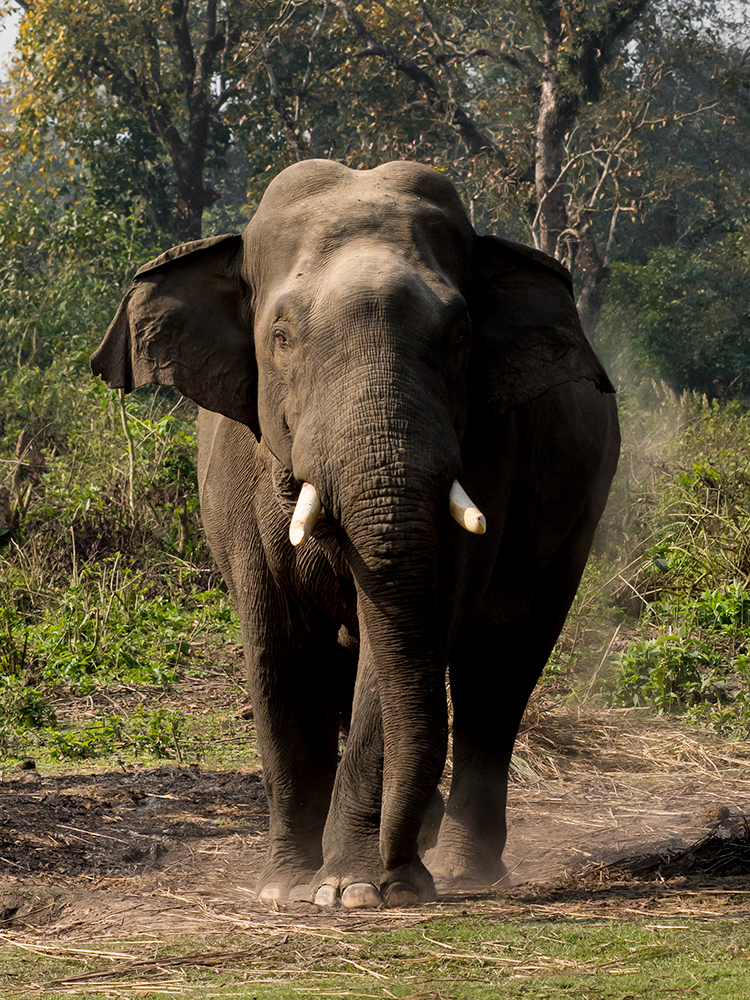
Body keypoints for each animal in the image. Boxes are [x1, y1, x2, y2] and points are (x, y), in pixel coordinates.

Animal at [92, 160, 624, 912]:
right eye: (282, 336)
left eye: (460, 336)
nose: (401, 873)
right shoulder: (239, 479)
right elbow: (279, 647)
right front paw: (286, 888)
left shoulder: (488, 451)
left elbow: (409, 630)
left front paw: (354, 890)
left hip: (579, 514)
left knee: (500, 664)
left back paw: (461, 870)